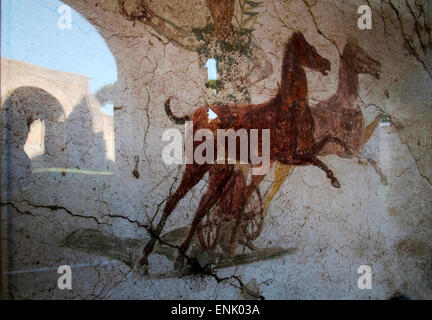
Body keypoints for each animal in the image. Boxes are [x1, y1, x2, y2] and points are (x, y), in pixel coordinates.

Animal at [140, 32, 352, 268]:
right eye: (307, 48)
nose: (327, 63)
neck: (289, 107)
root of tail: (194, 114)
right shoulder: (290, 156)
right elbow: (319, 161)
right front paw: (334, 179)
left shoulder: (299, 151)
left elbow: (330, 140)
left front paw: (348, 151)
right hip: (197, 165)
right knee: (174, 200)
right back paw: (148, 255)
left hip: (220, 174)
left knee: (202, 208)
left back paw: (181, 257)